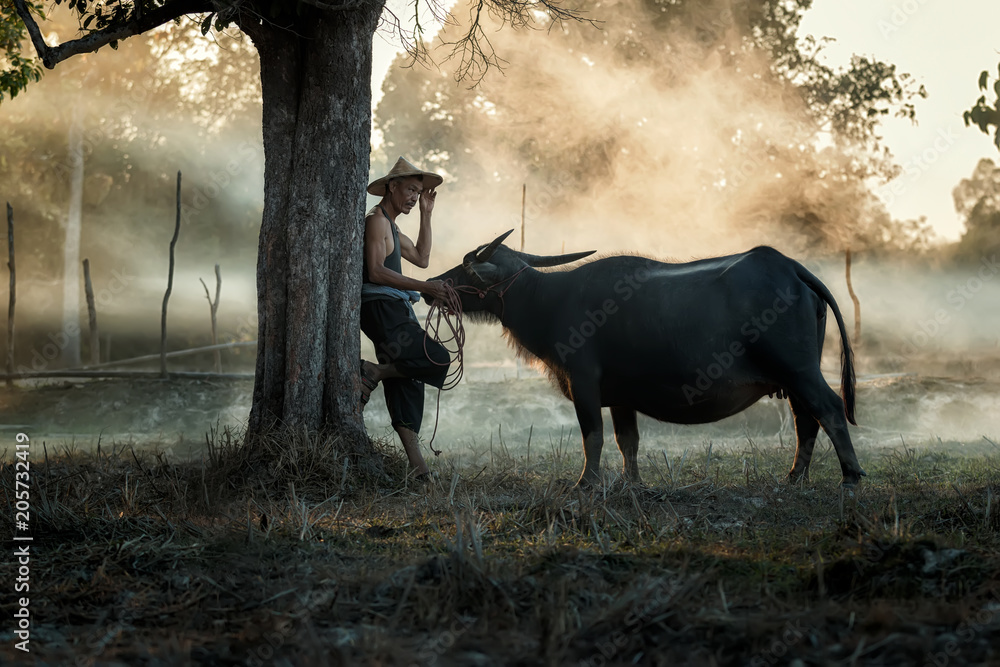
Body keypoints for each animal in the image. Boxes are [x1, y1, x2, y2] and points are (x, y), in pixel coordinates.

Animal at [426, 232, 864, 488]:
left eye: (466, 268)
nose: (431, 284)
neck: (550, 300)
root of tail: (791, 268)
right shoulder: (621, 396)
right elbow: (627, 441)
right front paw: (631, 483)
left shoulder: (584, 383)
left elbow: (593, 437)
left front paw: (586, 484)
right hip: (791, 379)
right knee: (806, 420)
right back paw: (793, 478)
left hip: (799, 370)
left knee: (828, 408)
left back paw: (850, 477)